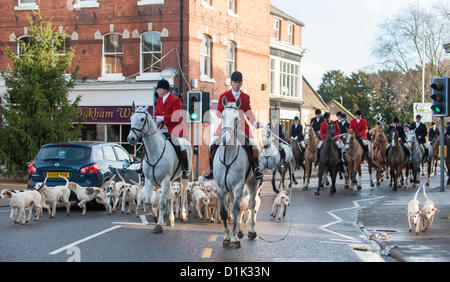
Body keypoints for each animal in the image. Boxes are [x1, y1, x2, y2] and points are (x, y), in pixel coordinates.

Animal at [126, 102, 192, 232]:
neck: (154, 151)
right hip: (171, 180)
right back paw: (171, 219)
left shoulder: (165, 179)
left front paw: (159, 224)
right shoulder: (149, 180)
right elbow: (148, 202)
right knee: (170, 197)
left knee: (183, 195)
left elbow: (161, 204)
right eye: (131, 118)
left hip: (182, 177)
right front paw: (156, 216)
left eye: (142, 119)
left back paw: (183, 215)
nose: (131, 139)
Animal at [214, 97, 258, 249]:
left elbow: (234, 210)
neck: (227, 156)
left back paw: (251, 232)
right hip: (230, 189)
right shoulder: (220, 188)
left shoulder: (239, 186)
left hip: (252, 183)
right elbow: (224, 212)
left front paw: (233, 238)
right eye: (222, 116)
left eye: (236, 118)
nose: (225, 140)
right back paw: (238, 231)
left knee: (251, 205)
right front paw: (227, 236)